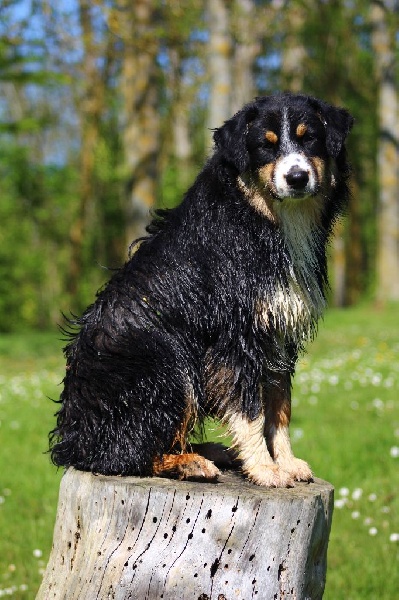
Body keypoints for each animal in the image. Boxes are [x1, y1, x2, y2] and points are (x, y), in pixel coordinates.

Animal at [50, 94, 354, 488]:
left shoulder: (278, 333)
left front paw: (286, 462)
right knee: (119, 454)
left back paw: (210, 451)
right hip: (165, 365)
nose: (297, 177)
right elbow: (250, 410)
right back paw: (188, 463)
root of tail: (71, 437)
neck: (263, 217)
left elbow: (280, 407)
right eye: (264, 145)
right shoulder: (234, 338)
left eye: (310, 138)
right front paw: (265, 469)